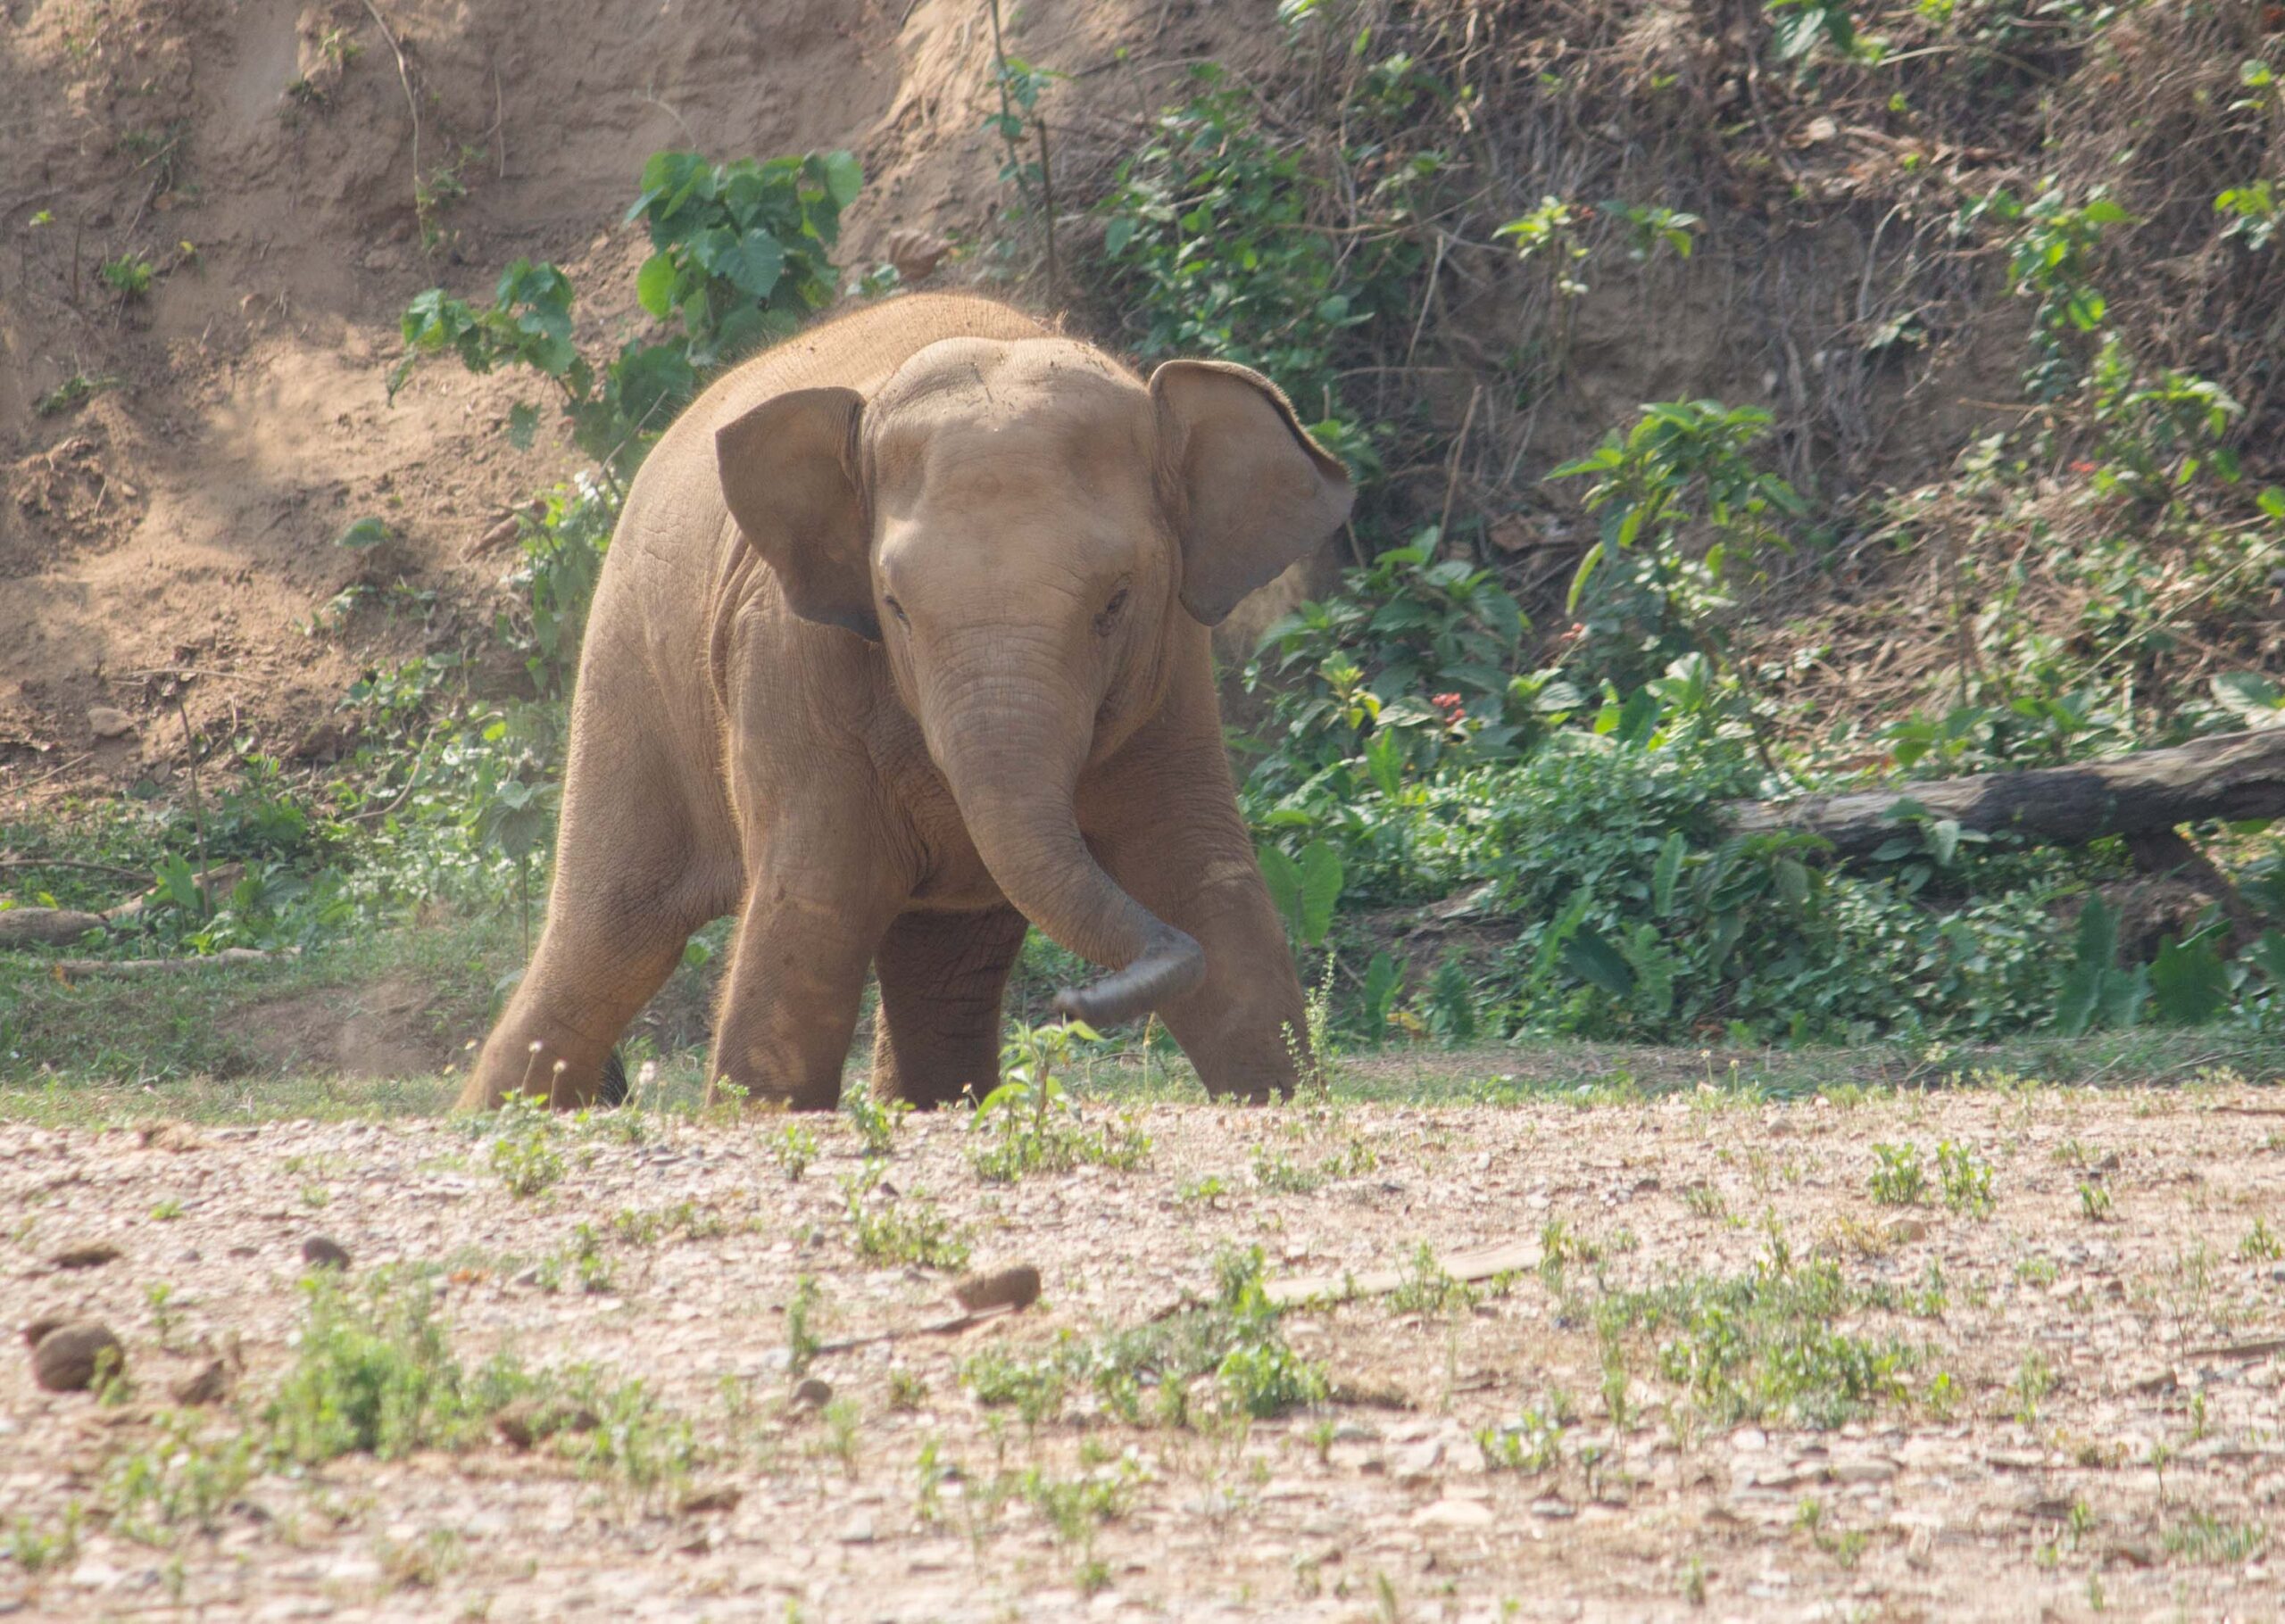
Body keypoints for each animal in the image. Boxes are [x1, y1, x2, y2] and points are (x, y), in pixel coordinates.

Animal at [458, 292, 1353, 1113]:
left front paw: (1281, 1094)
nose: (1073, 1003)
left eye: (1116, 603)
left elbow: (1211, 888)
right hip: (628, 666)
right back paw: (492, 1117)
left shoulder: (1175, 669)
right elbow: (811, 907)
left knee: (947, 963)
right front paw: (761, 1112)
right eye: (894, 608)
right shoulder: (788, 653)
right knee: (609, 940)